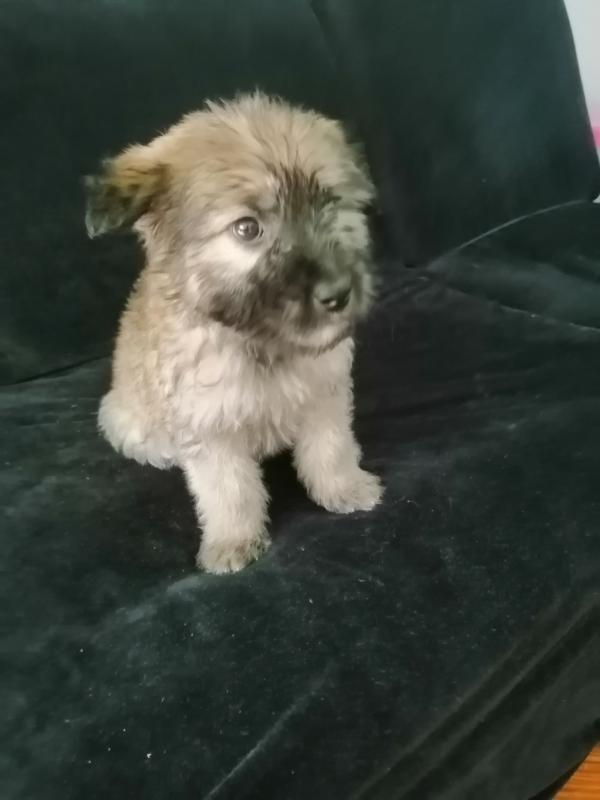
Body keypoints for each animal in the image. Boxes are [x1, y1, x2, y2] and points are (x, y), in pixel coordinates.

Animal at [85, 92, 382, 573]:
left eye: (330, 204)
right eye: (247, 228)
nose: (338, 294)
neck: (261, 342)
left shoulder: (326, 393)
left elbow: (331, 448)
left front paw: (344, 487)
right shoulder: (210, 430)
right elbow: (230, 491)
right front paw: (233, 541)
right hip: (124, 419)